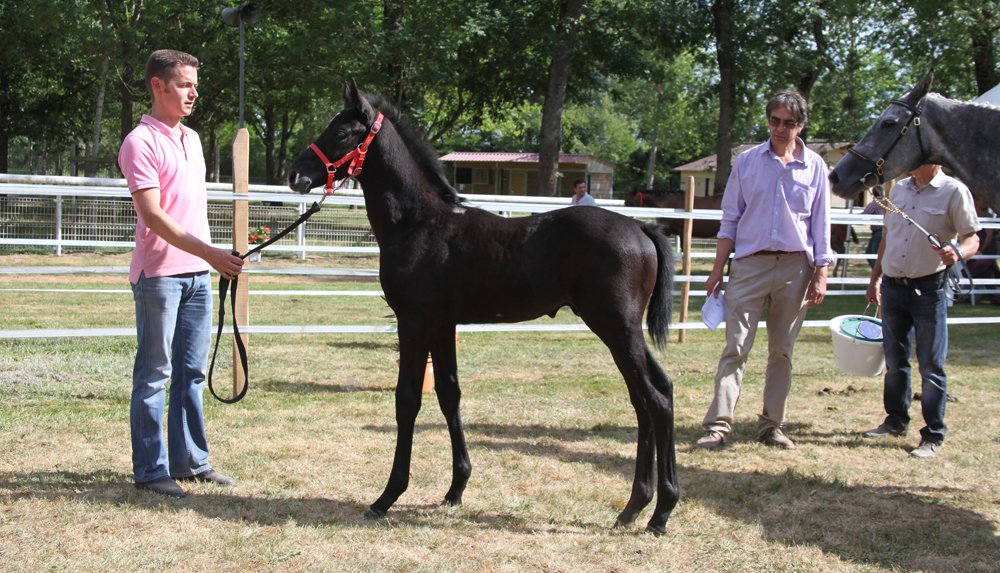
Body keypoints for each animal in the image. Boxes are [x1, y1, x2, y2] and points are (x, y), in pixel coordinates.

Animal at [288, 83, 679, 535]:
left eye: (342, 131)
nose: (294, 175)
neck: (419, 222)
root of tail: (642, 228)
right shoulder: (442, 325)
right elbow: (448, 394)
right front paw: (455, 489)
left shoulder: (415, 322)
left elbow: (407, 400)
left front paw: (387, 497)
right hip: (623, 331)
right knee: (649, 396)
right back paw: (634, 507)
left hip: (616, 328)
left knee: (655, 399)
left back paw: (661, 512)